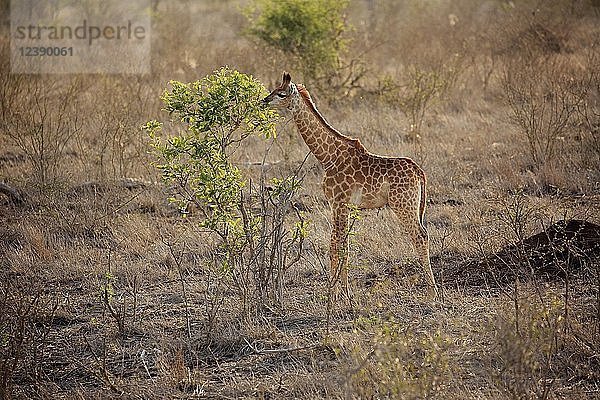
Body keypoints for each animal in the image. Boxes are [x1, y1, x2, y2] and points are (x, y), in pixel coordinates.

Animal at [264, 72, 438, 298]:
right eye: (274, 90)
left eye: (281, 94)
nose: (264, 100)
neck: (328, 157)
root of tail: (420, 173)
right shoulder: (343, 206)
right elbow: (342, 244)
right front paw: (342, 292)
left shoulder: (338, 203)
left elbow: (336, 245)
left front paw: (336, 294)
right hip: (413, 206)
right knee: (423, 234)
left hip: (403, 205)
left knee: (420, 236)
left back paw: (432, 293)